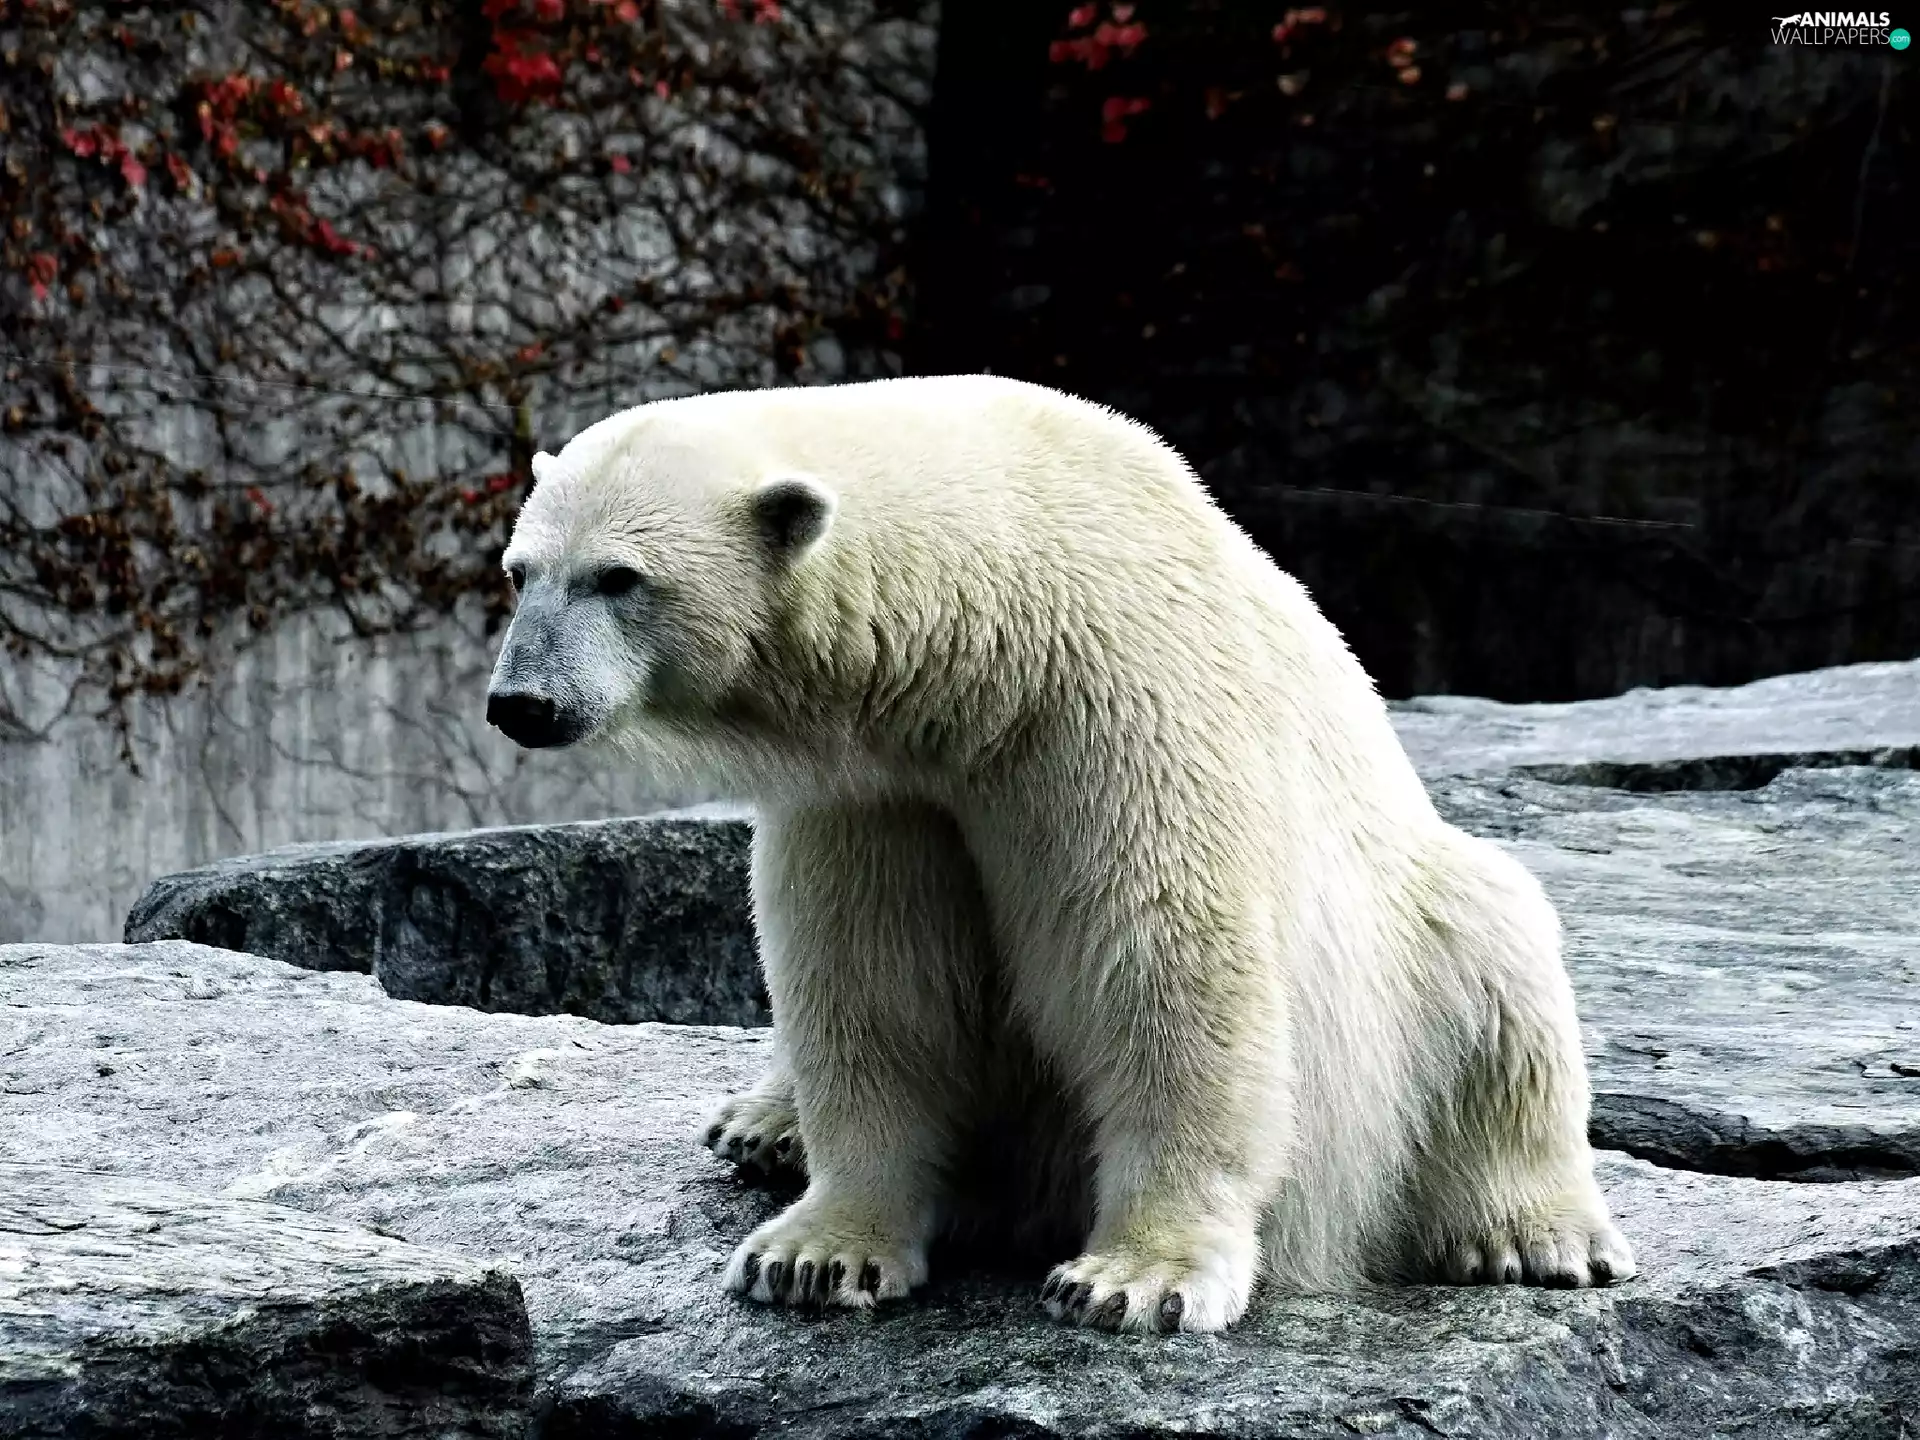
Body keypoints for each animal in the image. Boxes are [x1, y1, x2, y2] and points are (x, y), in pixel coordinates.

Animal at [485, 374, 1635, 1334]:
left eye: (620, 578)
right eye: (519, 572)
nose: (520, 702)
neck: (989, 628)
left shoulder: (1113, 705)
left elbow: (1165, 967)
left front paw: (1137, 1279)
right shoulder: (879, 790)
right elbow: (870, 985)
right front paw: (814, 1255)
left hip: (1418, 933)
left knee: (1500, 954)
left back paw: (1539, 1235)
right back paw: (762, 1124)